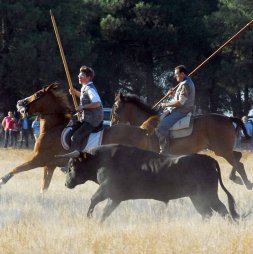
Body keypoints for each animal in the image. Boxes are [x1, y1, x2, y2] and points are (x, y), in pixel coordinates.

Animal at [0, 83, 155, 192]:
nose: (19, 103)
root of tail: (142, 130)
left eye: (38, 94)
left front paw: (2, 180)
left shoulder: (38, 159)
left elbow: (18, 168)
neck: (53, 127)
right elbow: (44, 187)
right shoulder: (49, 165)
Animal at [58, 145, 240, 222]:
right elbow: (105, 212)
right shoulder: (115, 198)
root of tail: (209, 160)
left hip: (208, 195)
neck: (100, 160)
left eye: (72, 165)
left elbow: (94, 200)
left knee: (221, 210)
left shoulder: (107, 190)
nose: (66, 184)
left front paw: (89, 218)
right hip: (196, 197)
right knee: (207, 213)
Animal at [111, 92, 253, 190]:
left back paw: (247, 184)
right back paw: (235, 178)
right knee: (238, 157)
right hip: (223, 150)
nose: (112, 125)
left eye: (116, 109)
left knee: (238, 164)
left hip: (222, 150)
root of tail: (228, 118)